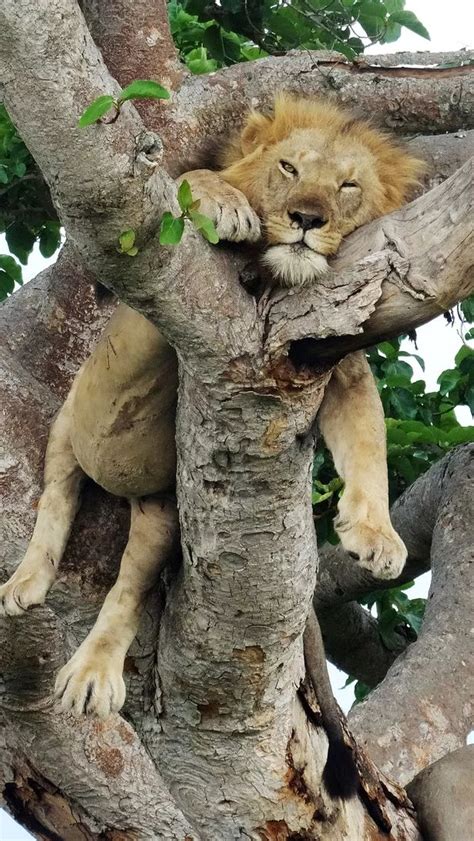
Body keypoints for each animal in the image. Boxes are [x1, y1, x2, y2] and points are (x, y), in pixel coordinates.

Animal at [0, 97, 422, 740]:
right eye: (289, 168)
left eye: (348, 186)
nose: (306, 218)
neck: (271, 274)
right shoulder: (157, 313)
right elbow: (191, 182)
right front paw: (225, 202)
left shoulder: (332, 355)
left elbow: (368, 442)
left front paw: (377, 536)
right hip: (67, 426)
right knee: (56, 499)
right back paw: (25, 585)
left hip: (163, 510)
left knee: (128, 589)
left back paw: (92, 674)